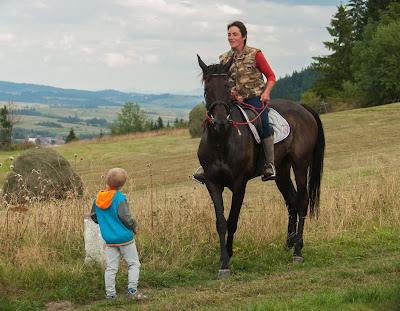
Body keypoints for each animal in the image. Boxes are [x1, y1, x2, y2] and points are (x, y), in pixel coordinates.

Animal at [197, 54, 324, 276]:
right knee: (291, 201)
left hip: (301, 165)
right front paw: (223, 261)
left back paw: (298, 251)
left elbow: (233, 220)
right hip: (281, 170)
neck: (222, 141)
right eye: (206, 90)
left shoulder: (239, 184)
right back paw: (289, 244)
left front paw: (228, 257)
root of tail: (302, 108)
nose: (220, 122)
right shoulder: (213, 184)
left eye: (228, 86)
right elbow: (221, 223)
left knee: (302, 202)